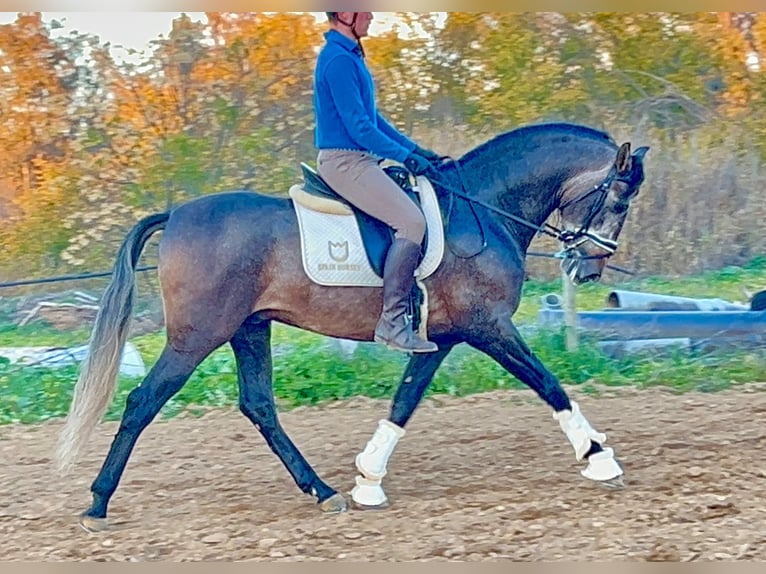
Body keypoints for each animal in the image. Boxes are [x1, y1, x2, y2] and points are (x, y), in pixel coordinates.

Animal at [57, 120, 652, 532]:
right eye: (620, 200)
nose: (588, 268)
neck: (484, 209)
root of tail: (176, 214)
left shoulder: (442, 337)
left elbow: (403, 402)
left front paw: (368, 479)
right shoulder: (489, 326)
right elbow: (549, 384)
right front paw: (599, 457)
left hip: (249, 329)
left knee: (259, 407)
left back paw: (323, 491)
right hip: (197, 336)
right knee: (143, 401)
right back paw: (98, 503)